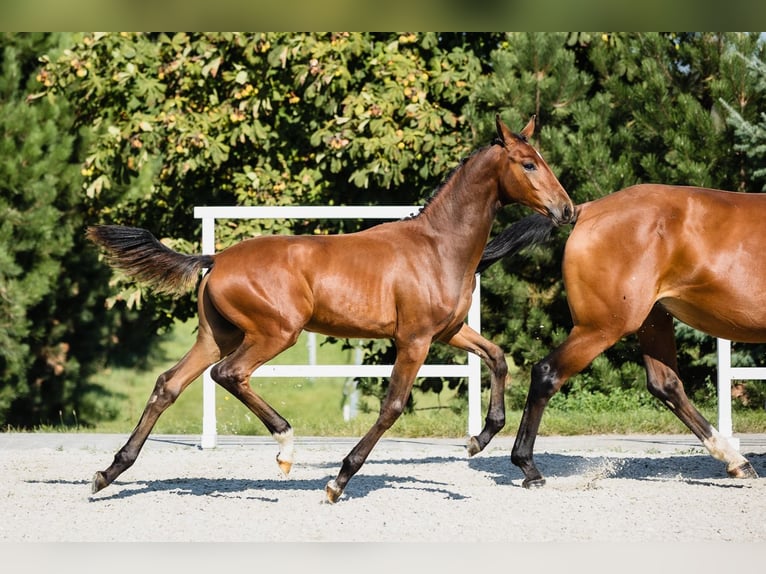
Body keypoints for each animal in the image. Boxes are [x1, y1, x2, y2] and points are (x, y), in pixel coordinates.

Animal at [87, 115, 576, 502]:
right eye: (528, 163)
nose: (566, 210)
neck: (438, 247)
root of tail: (216, 259)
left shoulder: (449, 331)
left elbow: (497, 357)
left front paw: (482, 441)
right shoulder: (414, 339)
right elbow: (392, 406)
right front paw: (339, 481)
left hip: (217, 336)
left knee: (168, 385)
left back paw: (108, 473)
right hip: (275, 332)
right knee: (228, 374)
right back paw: (285, 447)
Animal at [484, 183, 764, 486]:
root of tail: (586, 210)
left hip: (652, 320)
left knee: (666, 384)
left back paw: (737, 462)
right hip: (603, 327)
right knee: (547, 373)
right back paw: (528, 468)